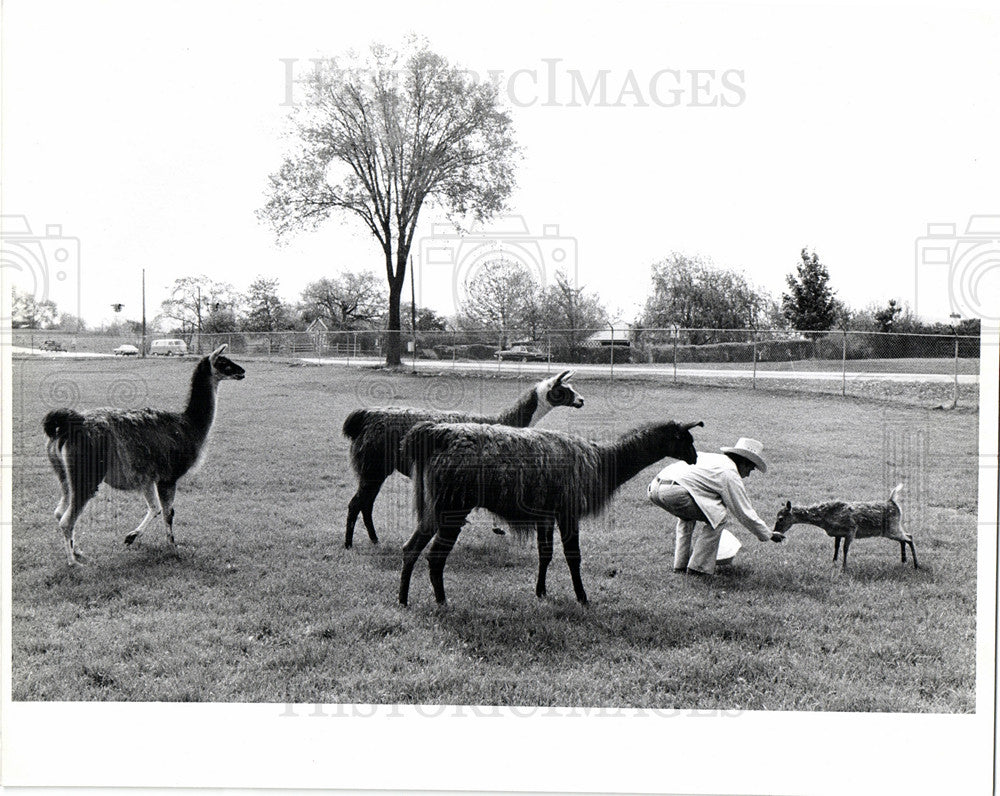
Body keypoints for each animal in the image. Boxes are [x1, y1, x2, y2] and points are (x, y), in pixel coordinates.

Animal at [42, 344, 246, 564]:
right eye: (224, 362)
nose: (242, 371)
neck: (189, 425)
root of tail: (70, 424)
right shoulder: (168, 476)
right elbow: (168, 513)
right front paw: (173, 548)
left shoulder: (147, 477)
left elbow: (155, 508)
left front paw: (130, 537)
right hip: (87, 472)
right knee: (66, 519)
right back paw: (73, 562)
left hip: (64, 474)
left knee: (59, 511)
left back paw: (77, 551)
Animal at [340, 372, 584, 548]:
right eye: (563, 390)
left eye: (573, 388)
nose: (581, 400)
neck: (506, 421)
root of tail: (365, 417)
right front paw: (496, 527)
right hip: (373, 467)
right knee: (356, 503)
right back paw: (349, 544)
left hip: (375, 469)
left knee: (366, 504)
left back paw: (374, 540)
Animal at [398, 420, 704, 608]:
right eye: (685, 439)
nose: (696, 458)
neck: (603, 461)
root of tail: (436, 434)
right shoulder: (568, 509)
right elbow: (573, 556)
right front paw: (582, 597)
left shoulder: (545, 513)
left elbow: (545, 554)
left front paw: (541, 592)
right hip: (454, 505)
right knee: (435, 555)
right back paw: (441, 601)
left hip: (436, 505)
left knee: (410, 548)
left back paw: (403, 600)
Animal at [768, 482, 916, 568]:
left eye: (780, 518)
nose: (774, 534)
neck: (826, 519)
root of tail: (893, 502)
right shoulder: (838, 533)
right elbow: (836, 547)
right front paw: (834, 562)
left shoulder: (851, 529)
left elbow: (845, 549)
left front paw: (844, 567)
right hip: (893, 529)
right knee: (904, 538)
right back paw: (904, 560)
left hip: (891, 528)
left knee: (909, 537)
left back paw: (916, 564)